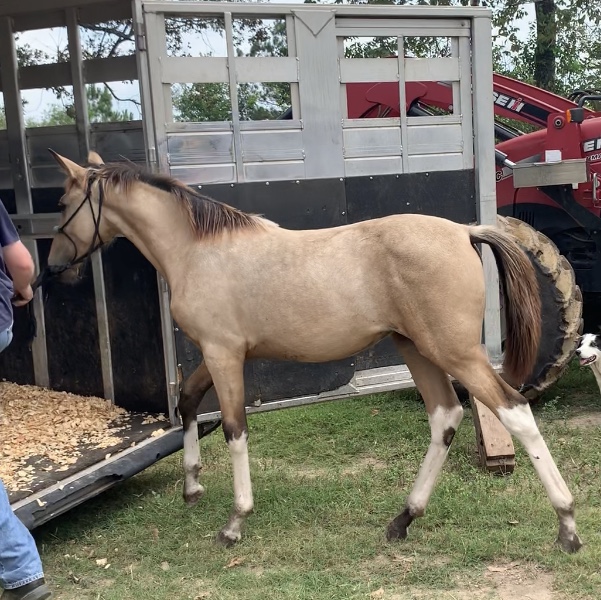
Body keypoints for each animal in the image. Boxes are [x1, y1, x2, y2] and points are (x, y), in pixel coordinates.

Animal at [38, 150, 580, 552]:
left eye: (63, 203)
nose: (55, 268)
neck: (197, 250)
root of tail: (464, 230)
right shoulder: (218, 356)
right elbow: (187, 401)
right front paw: (192, 487)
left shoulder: (223, 355)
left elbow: (234, 428)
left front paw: (234, 522)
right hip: (418, 349)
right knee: (445, 416)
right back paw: (403, 519)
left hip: (455, 353)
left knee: (514, 410)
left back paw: (567, 526)